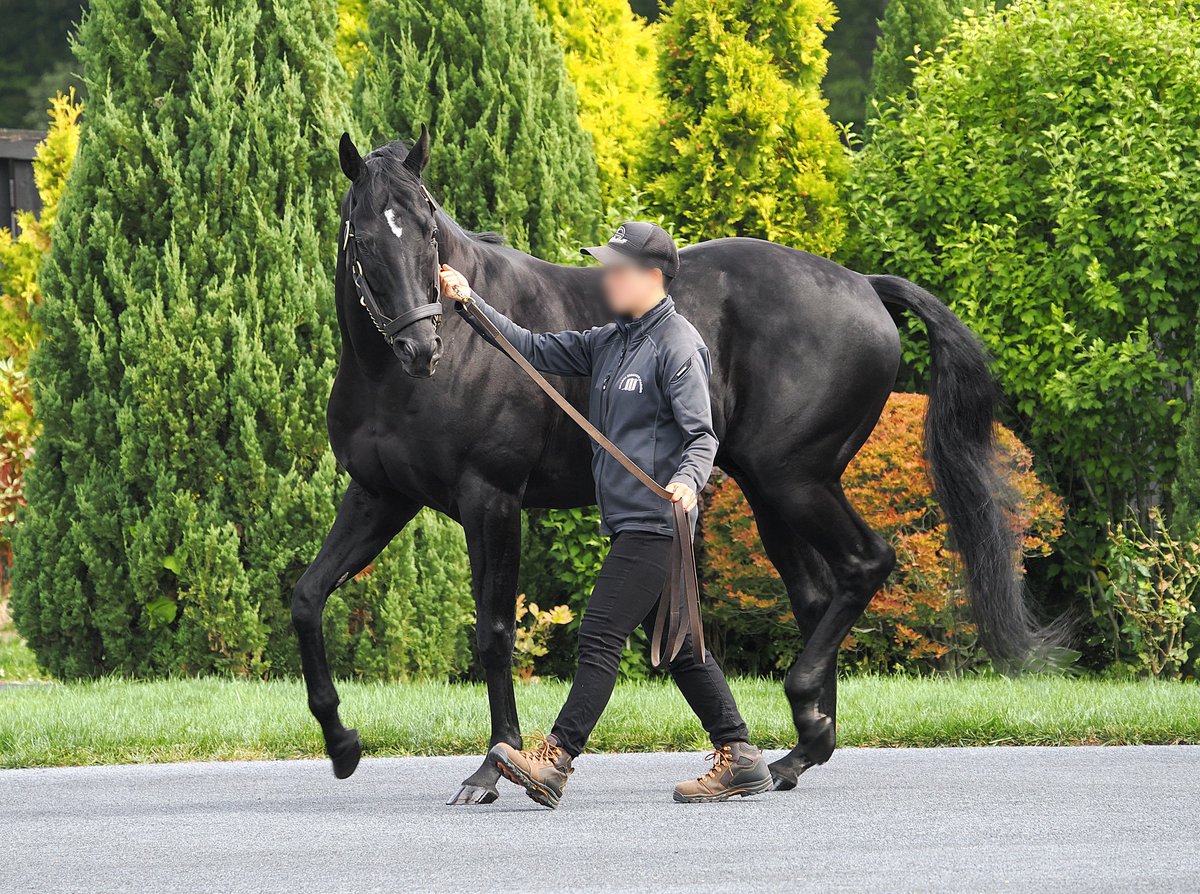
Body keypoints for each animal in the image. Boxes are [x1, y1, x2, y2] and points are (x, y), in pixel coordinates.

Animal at [291, 128, 1056, 804]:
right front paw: (342, 744)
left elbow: (494, 632)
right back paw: (798, 748)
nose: (422, 346)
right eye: (365, 236)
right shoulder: (379, 496)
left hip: (795, 480)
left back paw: (800, 715)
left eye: (427, 229)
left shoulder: (492, 501)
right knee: (819, 592)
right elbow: (307, 597)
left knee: (866, 564)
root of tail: (863, 287)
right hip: (771, 492)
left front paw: (490, 768)